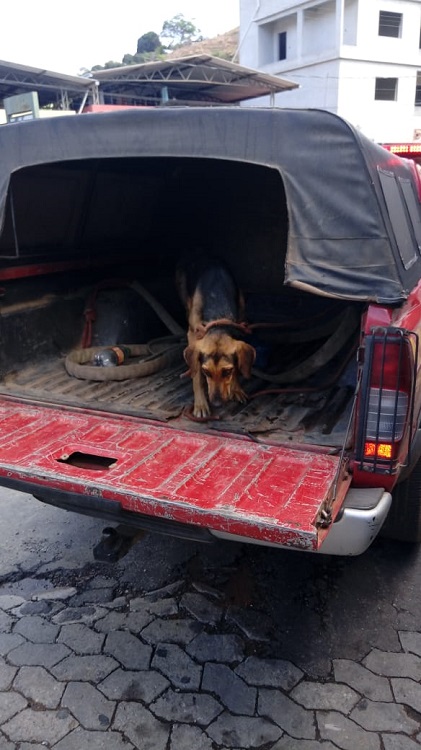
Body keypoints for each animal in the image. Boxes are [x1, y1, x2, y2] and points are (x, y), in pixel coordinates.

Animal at [176, 258, 254, 420]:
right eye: (206, 372)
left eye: (227, 372)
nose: (217, 404)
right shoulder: (193, 335)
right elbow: (197, 377)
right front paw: (200, 404)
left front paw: (236, 388)